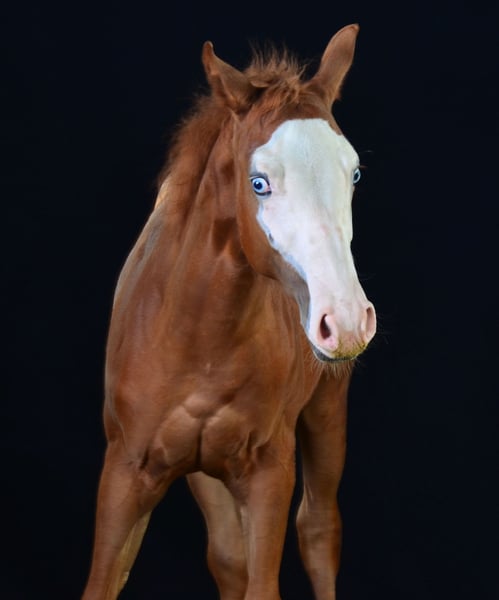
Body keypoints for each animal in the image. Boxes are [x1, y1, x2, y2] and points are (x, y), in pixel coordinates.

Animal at [82, 23, 376, 600]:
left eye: (354, 174)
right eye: (258, 182)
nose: (347, 320)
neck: (199, 335)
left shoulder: (269, 472)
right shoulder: (125, 471)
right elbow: (106, 579)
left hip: (327, 408)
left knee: (318, 529)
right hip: (203, 470)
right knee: (228, 557)